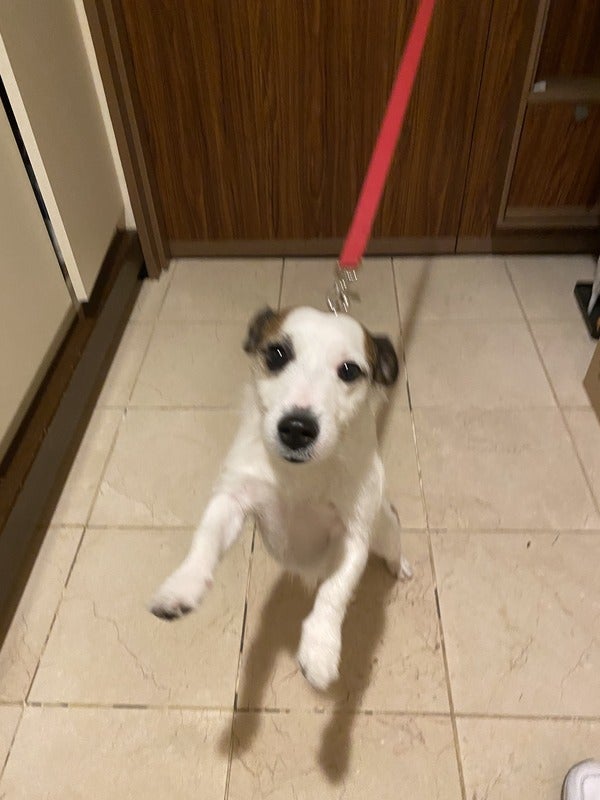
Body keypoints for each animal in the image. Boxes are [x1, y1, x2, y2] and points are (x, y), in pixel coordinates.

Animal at [150, 306, 411, 691]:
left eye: (349, 370)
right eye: (276, 354)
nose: (297, 429)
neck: (297, 476)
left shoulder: (353, 536)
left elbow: (334, 591)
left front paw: (320, 648)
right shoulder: (232, 500)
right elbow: (205, 541)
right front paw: (181, 586)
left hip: (385, 529)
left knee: (393, 547)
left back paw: (399, 565)